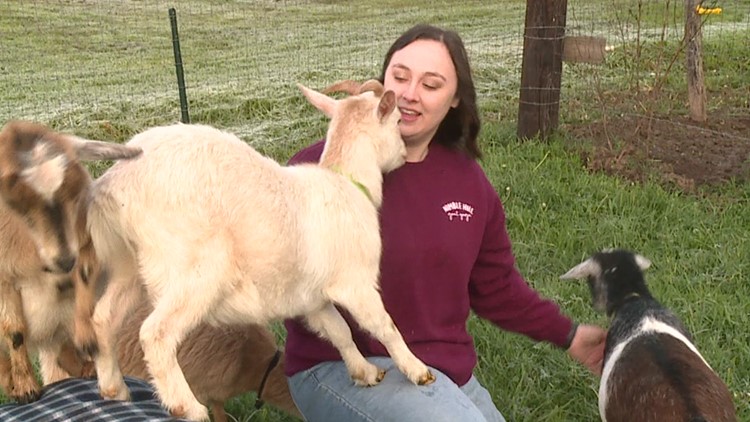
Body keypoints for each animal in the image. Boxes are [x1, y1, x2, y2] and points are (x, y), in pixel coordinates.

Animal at [0, 119, 141, 402]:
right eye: (17, 206)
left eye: (73, 196)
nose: (64, 261)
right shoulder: (4, 279)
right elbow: (15, 332)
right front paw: (25, 388)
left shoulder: (86, 246)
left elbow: (85, 280)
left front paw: (87, 339)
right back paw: (10, 383)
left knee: (62, 353)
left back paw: (86, 368)